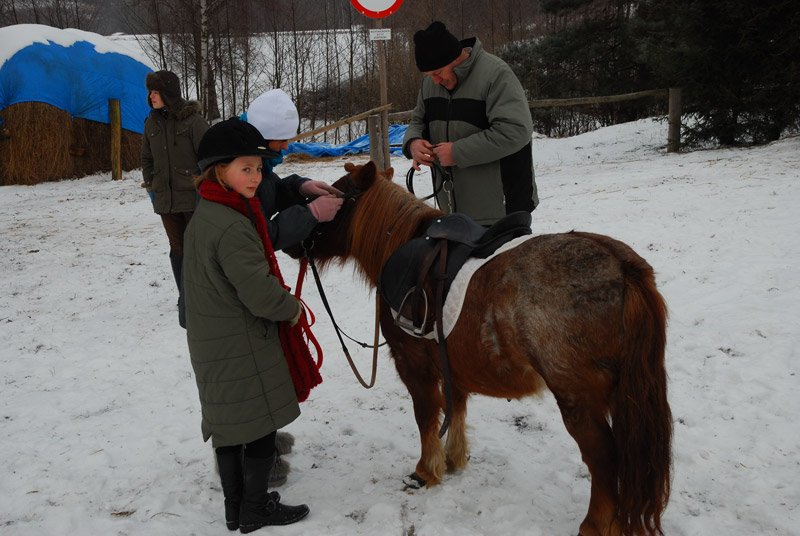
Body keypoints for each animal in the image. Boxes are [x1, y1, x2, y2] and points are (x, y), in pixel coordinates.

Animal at [296, 163, 672, 536]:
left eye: (330, 198)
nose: (297, 244)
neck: (399, 244)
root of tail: (621, 267)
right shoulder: (453, 365)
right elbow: (457, 409)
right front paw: (453, 459)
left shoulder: (412, 363)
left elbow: (425, 416)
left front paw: (426, 469)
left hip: (577, 397)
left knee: (604, 459)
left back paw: (595, 524)